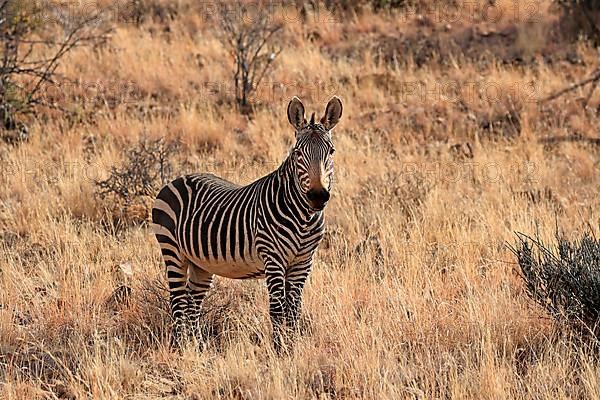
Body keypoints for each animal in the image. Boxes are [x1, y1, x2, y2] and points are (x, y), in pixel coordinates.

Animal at [150, 95, 342, 352]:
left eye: (331, 151)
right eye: (297, 153)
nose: (318, 196)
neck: (304, 218)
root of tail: (176, 179)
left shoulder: (303, 262)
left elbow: (294, 311)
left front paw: (292, 348)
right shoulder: (273, 258)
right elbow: (278, 310)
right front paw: (279, 351)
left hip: (200, 263)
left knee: (192, 302)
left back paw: (198, 348)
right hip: (172, 251)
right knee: (179, 302)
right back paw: (181, 348)